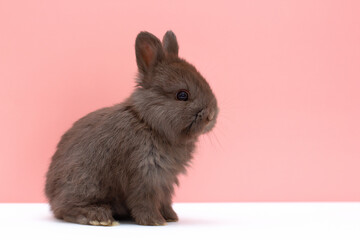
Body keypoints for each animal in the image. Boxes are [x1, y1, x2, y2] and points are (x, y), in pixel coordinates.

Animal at [45, 29, 219, 225]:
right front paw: (155, 221)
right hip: (84, 184)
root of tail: (50, 195)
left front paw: (170, 217)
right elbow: (144, 201)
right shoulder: (144, 175)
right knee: (66, 208)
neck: (148, 123)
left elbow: (165, 200)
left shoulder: (165, 181)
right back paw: (99, 217)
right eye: (182, 95)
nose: (211, 115)